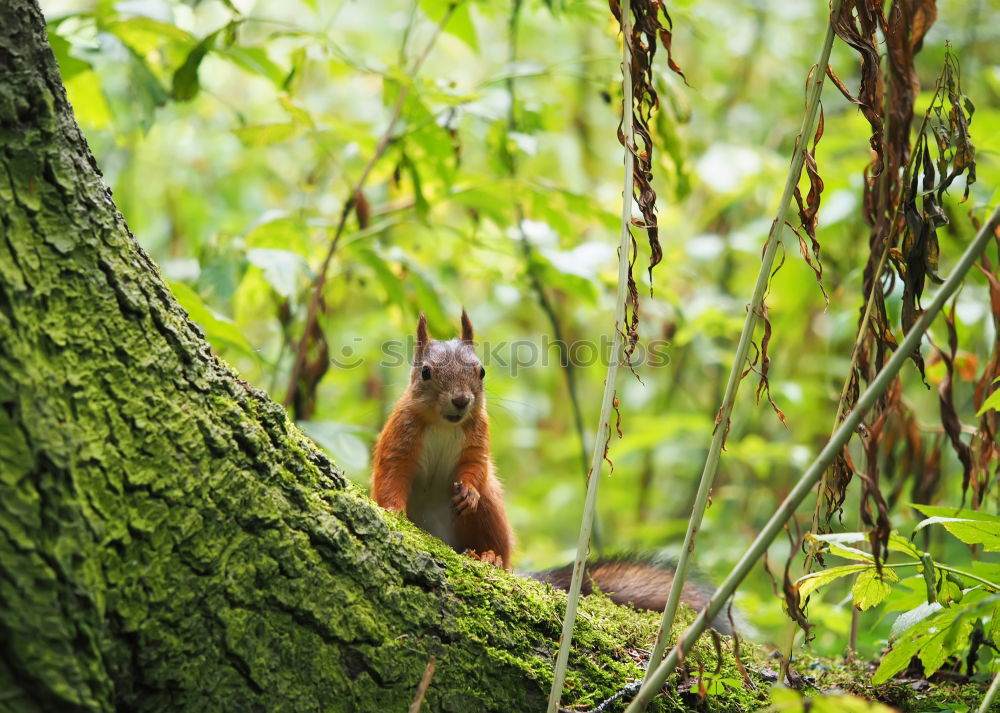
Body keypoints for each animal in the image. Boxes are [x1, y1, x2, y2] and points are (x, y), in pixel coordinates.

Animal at [370, 312, 516, 568]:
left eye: (482, 371)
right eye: (425, 372)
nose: (461, 400)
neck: (444, 425)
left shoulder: (477, 437)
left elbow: (475, 465)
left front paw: (469, 492)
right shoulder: (399, 438)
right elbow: (391, 475)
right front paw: (393, 511)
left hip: (489, 508)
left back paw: (490, 556)